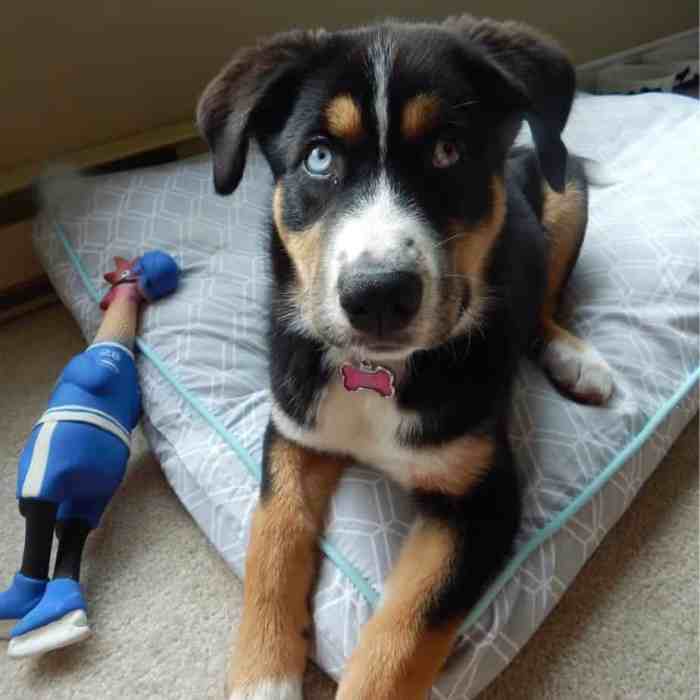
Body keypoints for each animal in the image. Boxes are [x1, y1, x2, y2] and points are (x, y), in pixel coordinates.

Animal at [196, 16, 612, 700]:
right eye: (319, 157)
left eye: (448, 150)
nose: (379, 295)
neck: (377, 377)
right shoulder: (294, 427)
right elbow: (273, 534)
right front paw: (263, 675)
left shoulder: (482, 498)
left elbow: (403, 635)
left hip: (565, 189)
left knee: (546, 301)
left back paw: (576, 358)